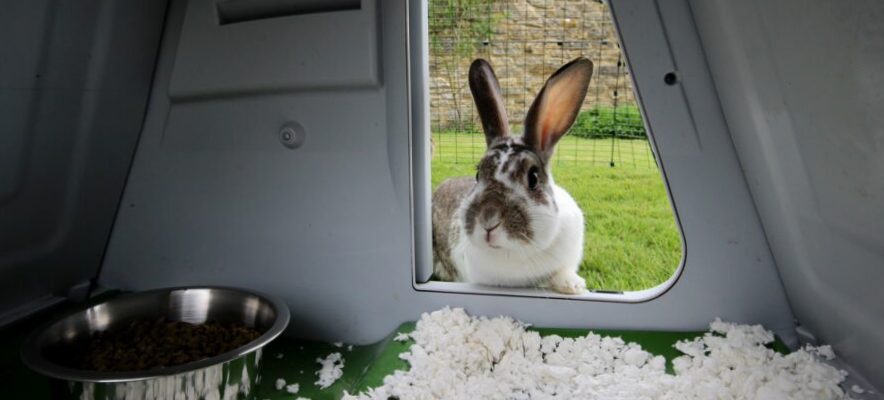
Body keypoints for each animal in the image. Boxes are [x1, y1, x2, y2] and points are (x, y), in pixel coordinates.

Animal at [432, 57, 593, 294]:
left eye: (533, 178)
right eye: (478, 173)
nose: (488, 220)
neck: (518, 252)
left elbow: (561, 271)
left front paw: (574, 285)